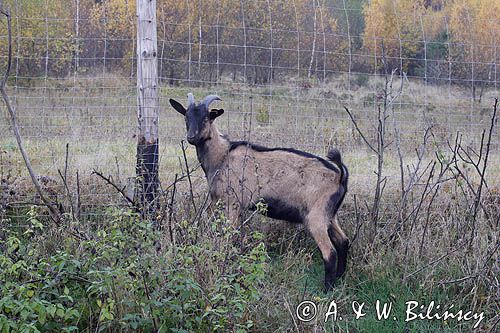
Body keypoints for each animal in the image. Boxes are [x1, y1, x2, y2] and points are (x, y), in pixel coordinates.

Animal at [168, 93, 348, 290]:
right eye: (186, 117)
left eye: (206, 117)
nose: (191, 137)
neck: (223, 156)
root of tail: (340, 176)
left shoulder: (232, 203)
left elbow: (228, 238)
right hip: (330, 215)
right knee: (344, 241)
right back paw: (340, 278)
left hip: (316, 217)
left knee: (330, 252)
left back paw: (327, 289)